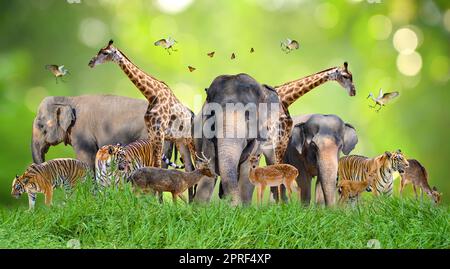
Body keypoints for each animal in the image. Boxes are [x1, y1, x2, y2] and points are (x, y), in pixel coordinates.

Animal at [88, 39, 195, 169]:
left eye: (105, 53)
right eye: (99, 50)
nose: (90, 62)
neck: (152, 95)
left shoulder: (159, 133)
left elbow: (157, 164)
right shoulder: (152, 133)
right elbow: (154, 163)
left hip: (190, 139)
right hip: (180, 141)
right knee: (190, 166)